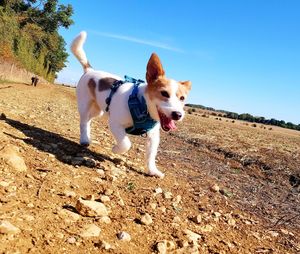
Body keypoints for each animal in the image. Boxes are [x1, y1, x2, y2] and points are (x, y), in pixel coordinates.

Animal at [71, 31, 191, 178]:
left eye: (182, 98)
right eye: (164, 93)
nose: (178, 114)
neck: (142, 104)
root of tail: (90, 70)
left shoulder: (153, 137)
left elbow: (151, 155)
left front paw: (153, 171)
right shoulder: (115, 124)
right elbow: (125, 143)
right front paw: (116, 149)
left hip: (98, 110)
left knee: (88, 121)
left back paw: (87, 137)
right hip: (84, 105)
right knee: (83, 122)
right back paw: (84, 139)